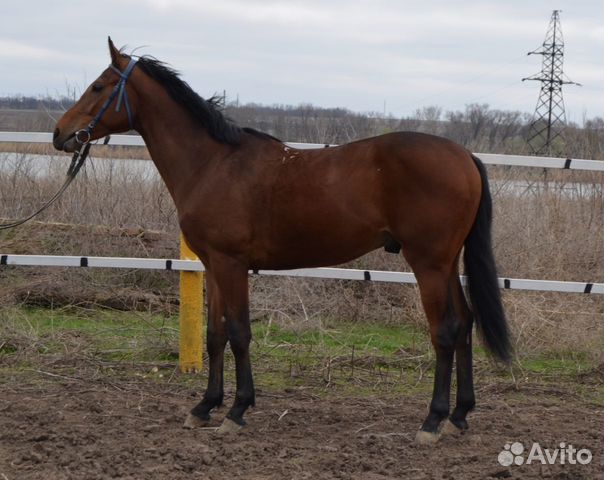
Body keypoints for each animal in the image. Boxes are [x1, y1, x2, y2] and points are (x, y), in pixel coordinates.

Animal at [55, 39, 510, 444]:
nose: (60, 133)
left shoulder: (232, 264)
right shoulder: (214, 265)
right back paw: (459, 416)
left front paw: (237, 411)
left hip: (429, 263)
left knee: (446, 331)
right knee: (465, 323)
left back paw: (432, 421)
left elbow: (239, 333)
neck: (213, 163)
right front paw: (205, 407)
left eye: (99, 86)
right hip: (446, 264)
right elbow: (215, 335)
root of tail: (465, 156)